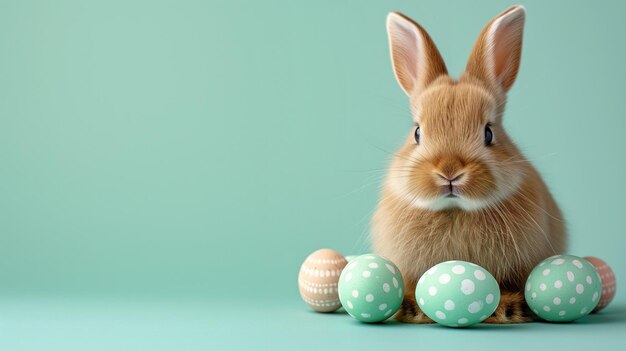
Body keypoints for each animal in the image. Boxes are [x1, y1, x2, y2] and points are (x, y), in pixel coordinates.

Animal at [370, 5, 564, 324]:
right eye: (417, 132)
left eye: (489, 133)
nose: (449, 171)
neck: (455, 211)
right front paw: (411, 307)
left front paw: (507, 307)